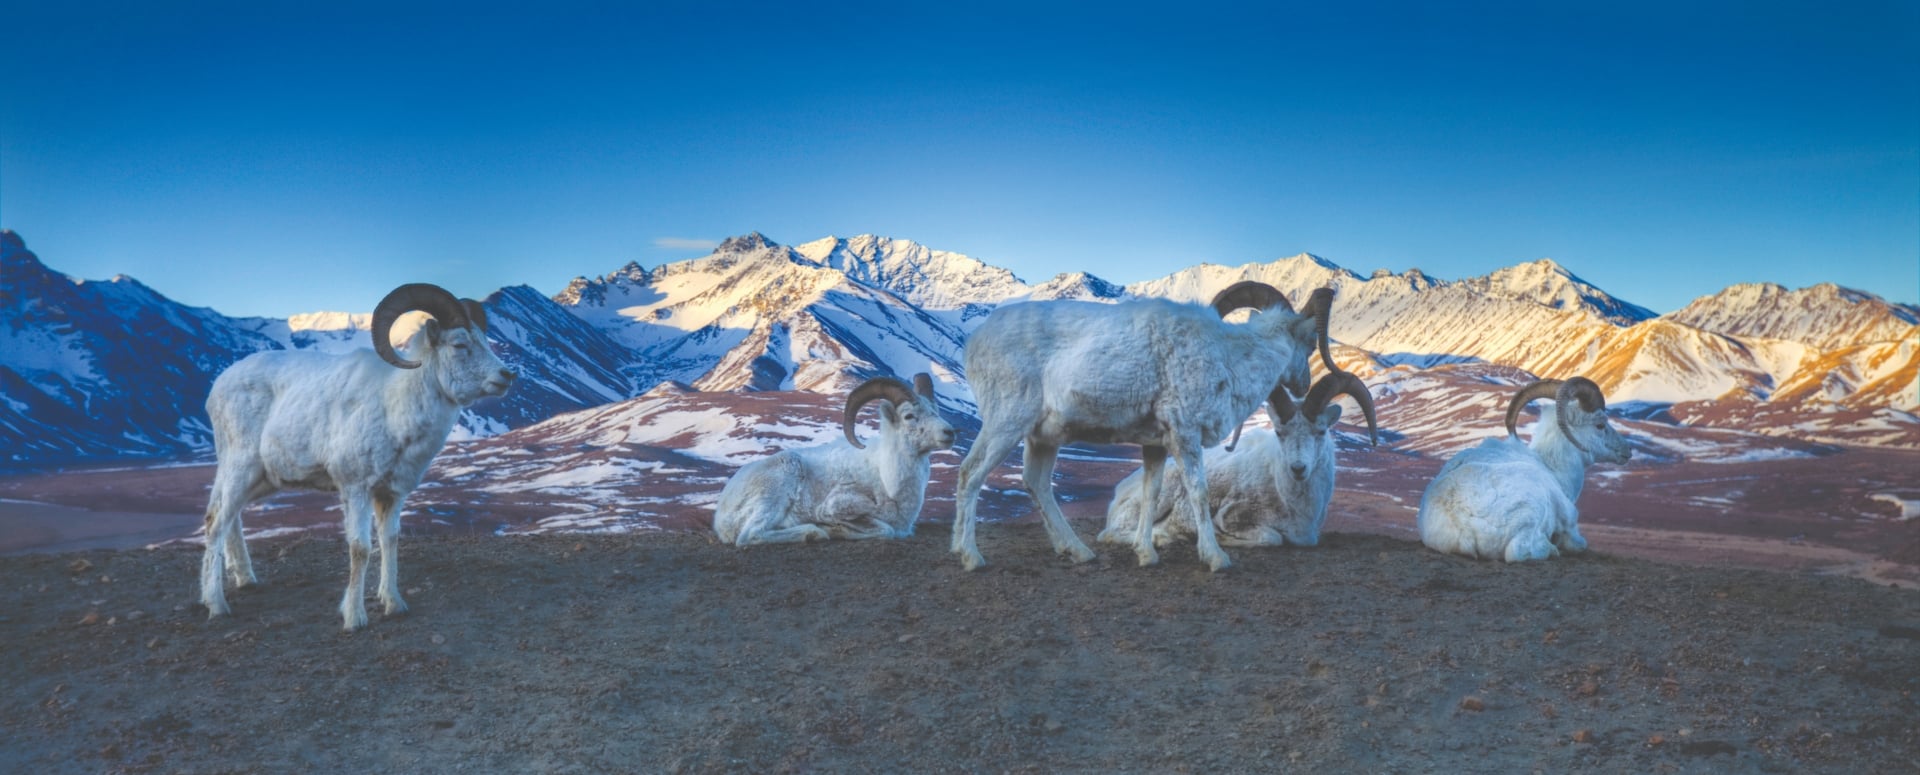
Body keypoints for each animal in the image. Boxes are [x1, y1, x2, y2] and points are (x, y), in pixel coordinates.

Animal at [199, 283, 516, 630]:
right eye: (460, 343)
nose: (506, 376)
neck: (395, 408)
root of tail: (217, 387)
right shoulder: (355, 489)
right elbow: (360, 549)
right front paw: (354, 618)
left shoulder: (391, 494)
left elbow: (390, 541)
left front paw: (394, 604)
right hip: (241, 468)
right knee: (216, 523)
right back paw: (216, 605)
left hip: (260, 479)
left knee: (231, 519)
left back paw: (245, 581)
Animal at [713, 373, 955, 545]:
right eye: (909, 416)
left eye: (936, 410)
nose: (949, 432)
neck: (887, 479)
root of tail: (721, 514)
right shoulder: (835, 505)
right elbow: (885, 529)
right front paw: (834, 529)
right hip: (778, 487)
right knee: (750, 535)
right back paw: (813, 532)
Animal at [951, 281, 1334, 571]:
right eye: (1309, 343)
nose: (1303, 386)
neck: (1229, 360)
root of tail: (973, 342)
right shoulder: (1185, 435)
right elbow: (1198, 492)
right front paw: (1216, 558)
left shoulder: (1156, 445)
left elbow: (1152, 492)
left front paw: (1146, 554)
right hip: (1006, 423)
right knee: (971, 473)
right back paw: (970, 557)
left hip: (1042, 437)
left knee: (1036, 482)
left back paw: (1078, 552)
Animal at [1099, 369, 1377, 548]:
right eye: (1280, 432)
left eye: (1320, 431)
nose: (1298, 469)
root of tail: (1118, 492)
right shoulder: (1234, 516)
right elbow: (1272, 538)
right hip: (1162, 494)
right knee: (1112, 533)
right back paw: (1164, 538)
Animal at [1416, 377, 1631, 562]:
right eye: (1600, 424)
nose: (1627, 450)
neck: (1553, 470)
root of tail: (1460, 518)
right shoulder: (1570, 524)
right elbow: (1579, 544)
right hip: (1530, 514)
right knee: (1518, 552)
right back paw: (1551, 549)